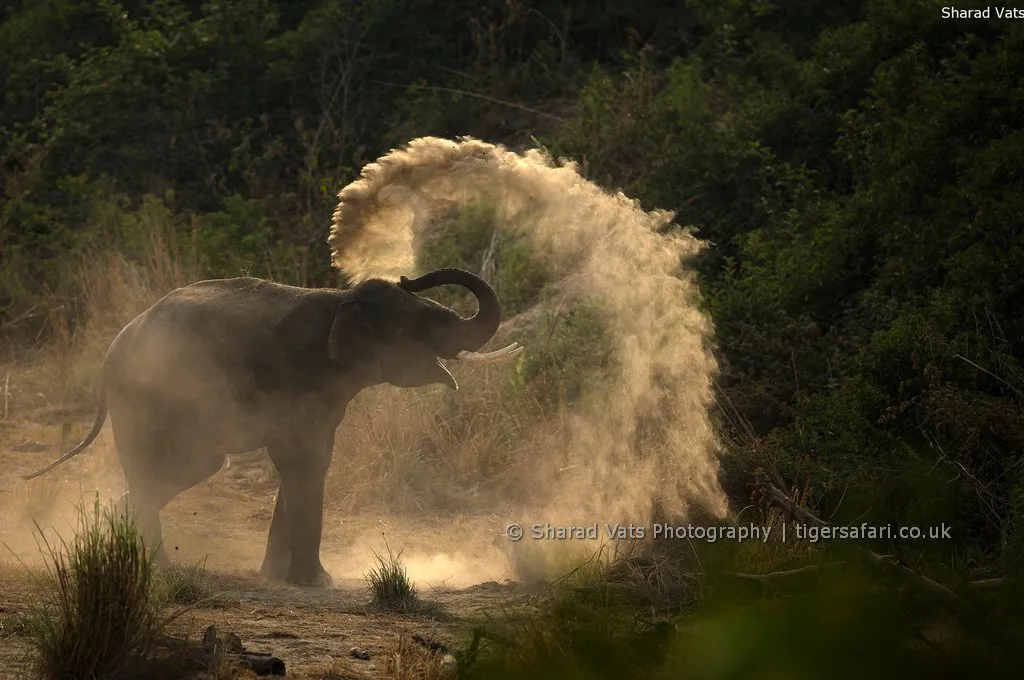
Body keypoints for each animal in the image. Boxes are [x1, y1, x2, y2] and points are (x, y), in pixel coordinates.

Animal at [23, 268, 520, 585]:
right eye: (420, 324)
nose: (409, 277)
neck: (340, 299)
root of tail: (113, 350)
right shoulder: (297, 379)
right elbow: (303, 461)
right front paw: (316, 583)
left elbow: (311, 462)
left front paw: (277, 577)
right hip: (142, 399)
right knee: (175, 465)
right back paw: (159, 565)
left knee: (184, 469)